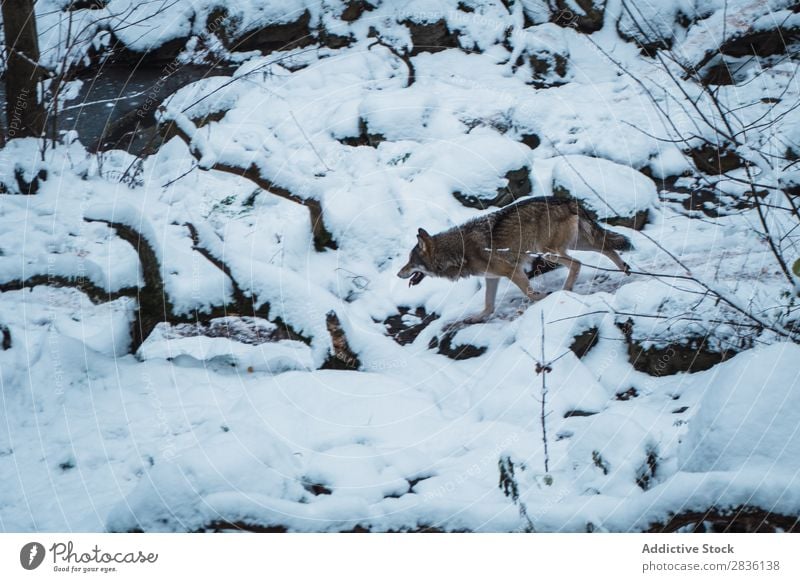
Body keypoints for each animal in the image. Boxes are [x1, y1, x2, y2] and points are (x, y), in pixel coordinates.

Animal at [396, 197, 636, 324]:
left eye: (410, 262)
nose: (398, 273)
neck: (458, 252)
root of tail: (567, 199)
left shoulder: (512, 271)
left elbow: (529, 294)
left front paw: (543, 298)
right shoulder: (492, 278)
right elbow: (488, 305)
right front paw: (476, 318)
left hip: (549, 252)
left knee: (577, 263)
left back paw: (566, 290)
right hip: (576, 244)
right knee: (607, 247)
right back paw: (625, 269)